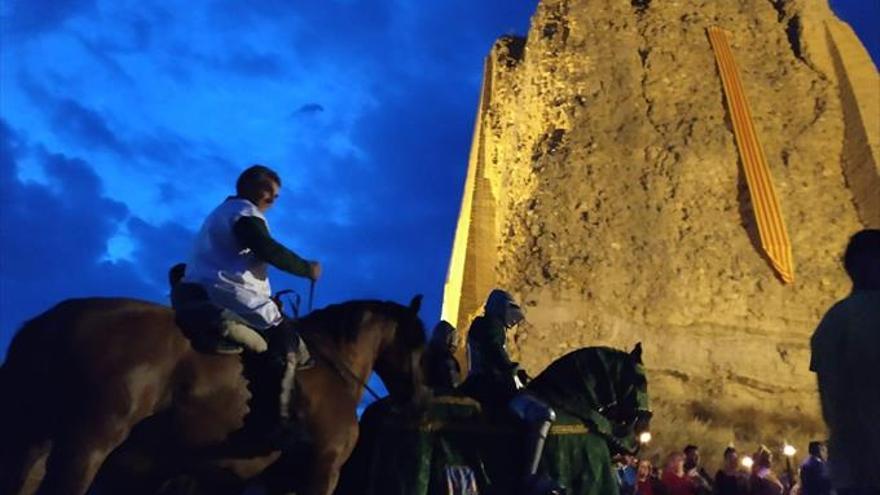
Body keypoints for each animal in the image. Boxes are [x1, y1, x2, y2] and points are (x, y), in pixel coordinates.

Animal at [0, 294, 428, 495]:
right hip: (87, 445)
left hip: (30, 440)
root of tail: (53, 320)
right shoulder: (322, 472)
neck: (331, 363)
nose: (418, 396)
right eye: (418, 343)